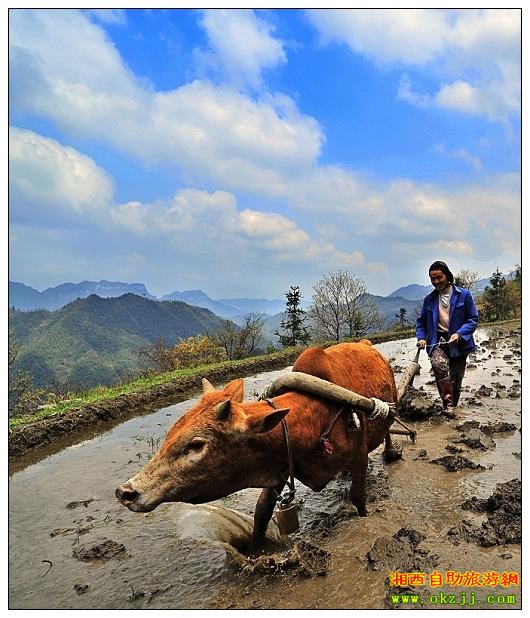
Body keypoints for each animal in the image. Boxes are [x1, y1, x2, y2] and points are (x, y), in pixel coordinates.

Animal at [116, 340, 398, 551]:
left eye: (196, 444)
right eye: (171, 433)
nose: (126, 492)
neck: (315, 418)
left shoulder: (359, 455)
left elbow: (358, 498)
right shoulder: (280, 465)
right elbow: (261, 513)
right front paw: (255, 551)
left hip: (390, 407)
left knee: (389, 429)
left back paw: (391, 453)